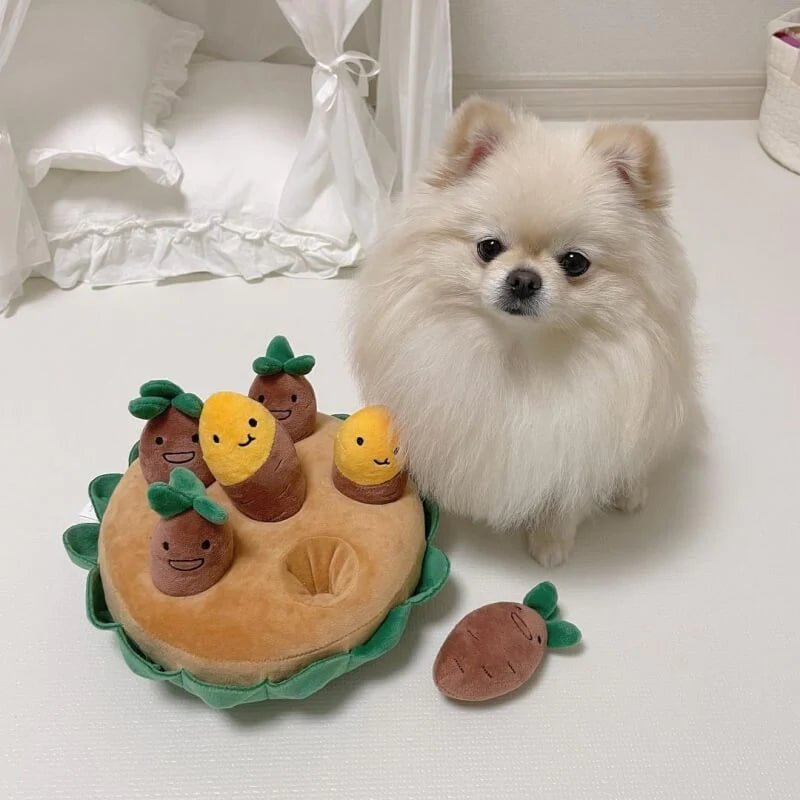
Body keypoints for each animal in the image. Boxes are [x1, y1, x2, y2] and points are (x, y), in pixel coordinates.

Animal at [352, 97, 700, 564]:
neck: (520, 353)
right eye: (488, 247)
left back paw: (629, 492)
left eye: (575, 262)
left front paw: (551, 543)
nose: (522, 279)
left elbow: (566, 501)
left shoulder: (581, 448)